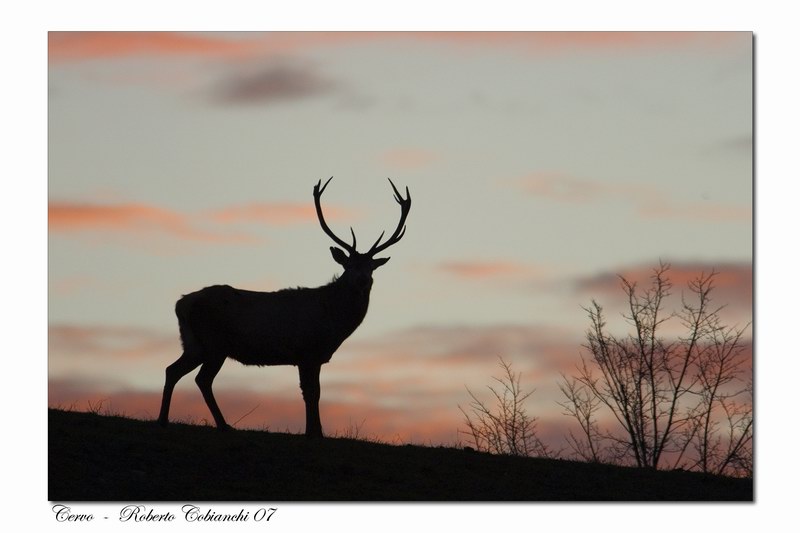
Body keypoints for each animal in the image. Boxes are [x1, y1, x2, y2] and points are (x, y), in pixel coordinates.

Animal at [155, 178, 410, 436]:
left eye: (371, 267)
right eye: (348, 265)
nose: (362, 280)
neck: (332, 322)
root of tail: (181, 304)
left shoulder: (311, 356)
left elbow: (312, 392)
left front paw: (314, 431)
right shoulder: (307, 351)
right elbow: (312, 393)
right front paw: (314, 432)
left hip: (194, 343)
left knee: (172, 370)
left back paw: (164, 420)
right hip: (215, 342)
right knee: (202, 379)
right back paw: (222, 424)